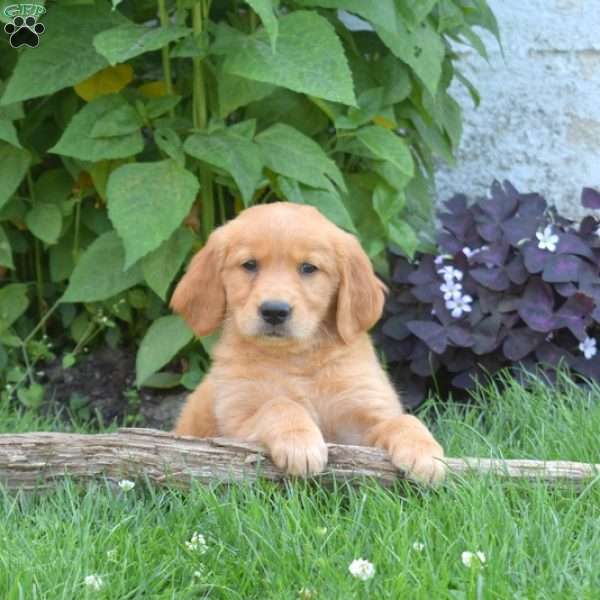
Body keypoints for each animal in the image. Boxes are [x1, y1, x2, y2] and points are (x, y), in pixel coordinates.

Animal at [171, 202, 442, 482]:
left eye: (308, 268)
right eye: (249, 265)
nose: (274, 311)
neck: (298, 358)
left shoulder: (361, 423)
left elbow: (404, 420)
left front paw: (425, 453)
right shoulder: (235, 424)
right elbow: (278, 404)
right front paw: (299, 443)